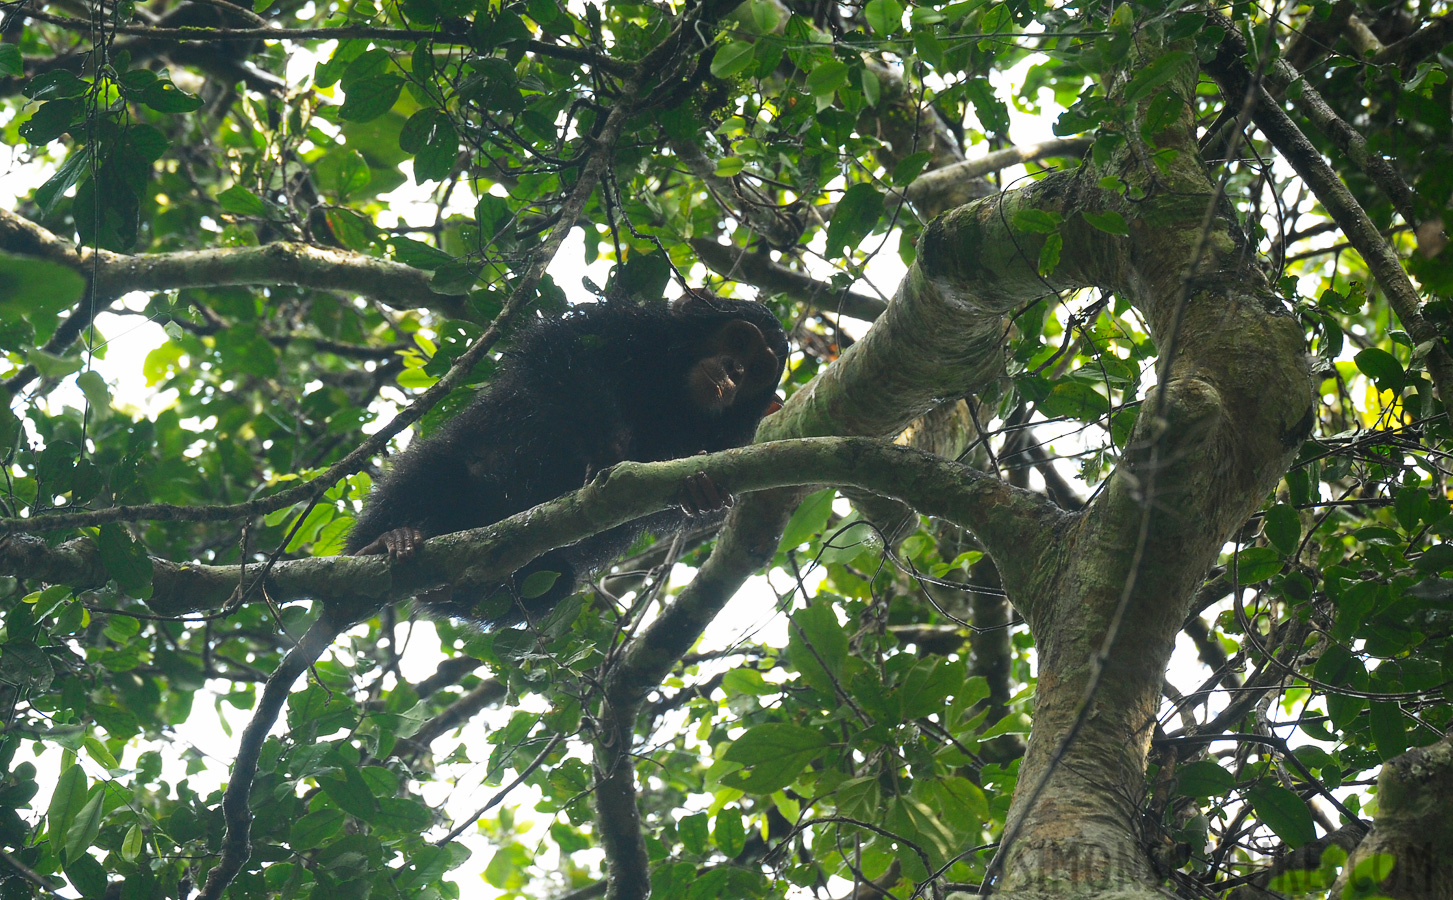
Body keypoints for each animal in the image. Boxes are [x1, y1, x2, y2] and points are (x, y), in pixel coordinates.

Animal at [345, 292, 790, 631]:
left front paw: (702, 489)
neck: (672, 395)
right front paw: (608, 453)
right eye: (738, 340)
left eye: (759, 369)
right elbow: (561, 348)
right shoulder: (629, 328)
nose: (734, 369)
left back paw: (456, 589)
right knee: (432, 472)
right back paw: (390, 537)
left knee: (553, 581)